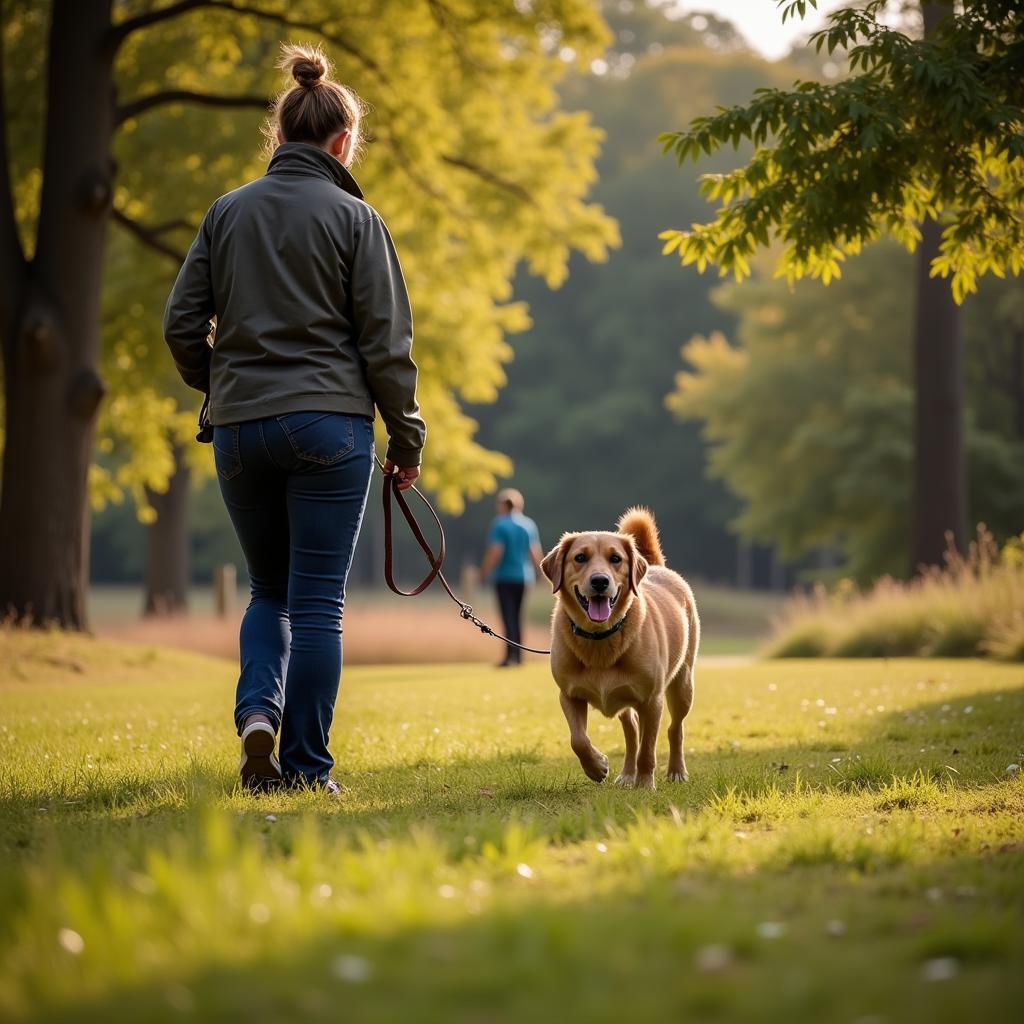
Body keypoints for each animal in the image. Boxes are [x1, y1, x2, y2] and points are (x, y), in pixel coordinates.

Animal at [540, 507, 700, 786]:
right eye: (580, 557)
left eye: (615, 558)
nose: (600, 581)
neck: (599, 638)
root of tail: (657, 567)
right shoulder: (569, 695)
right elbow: (578, 740)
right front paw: (597, 766)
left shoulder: (652, 700)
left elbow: (648, 748)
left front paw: (645, 783)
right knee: (632, 731)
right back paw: (627, 774)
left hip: (682, 685)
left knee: (674, 728)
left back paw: (676, 771)